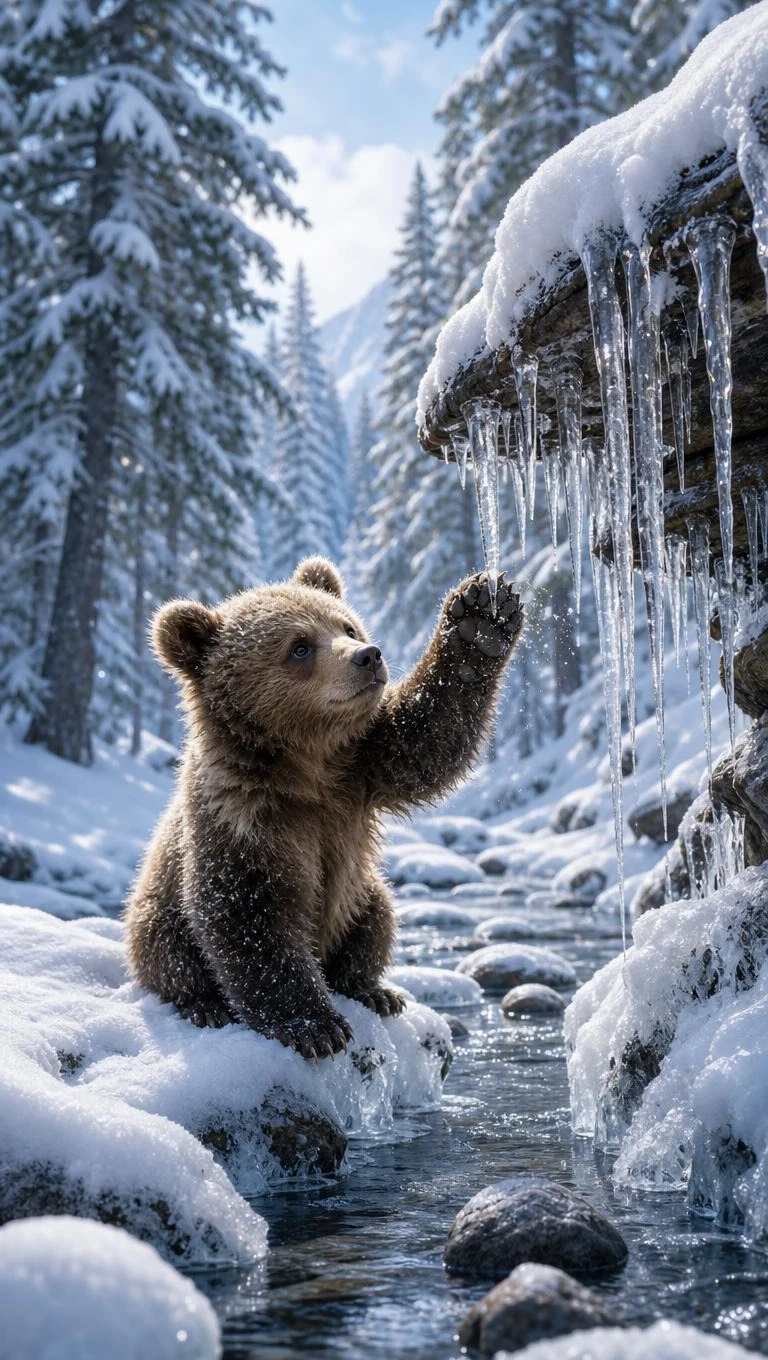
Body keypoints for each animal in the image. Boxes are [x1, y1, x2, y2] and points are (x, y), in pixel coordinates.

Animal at [124, 557, 523, 1059]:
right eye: (299, 646)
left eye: (346, 625)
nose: (367, 656)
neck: (307, 763)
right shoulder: (242, 814)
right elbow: (249, 914)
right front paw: (314, 1027)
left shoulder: (363, 764)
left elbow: (429, 738)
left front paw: (479, 621)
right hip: (155, 907)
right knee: (165, 950)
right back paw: (203, 1004)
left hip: (362, 892)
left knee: (376, 916)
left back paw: (372, 989)